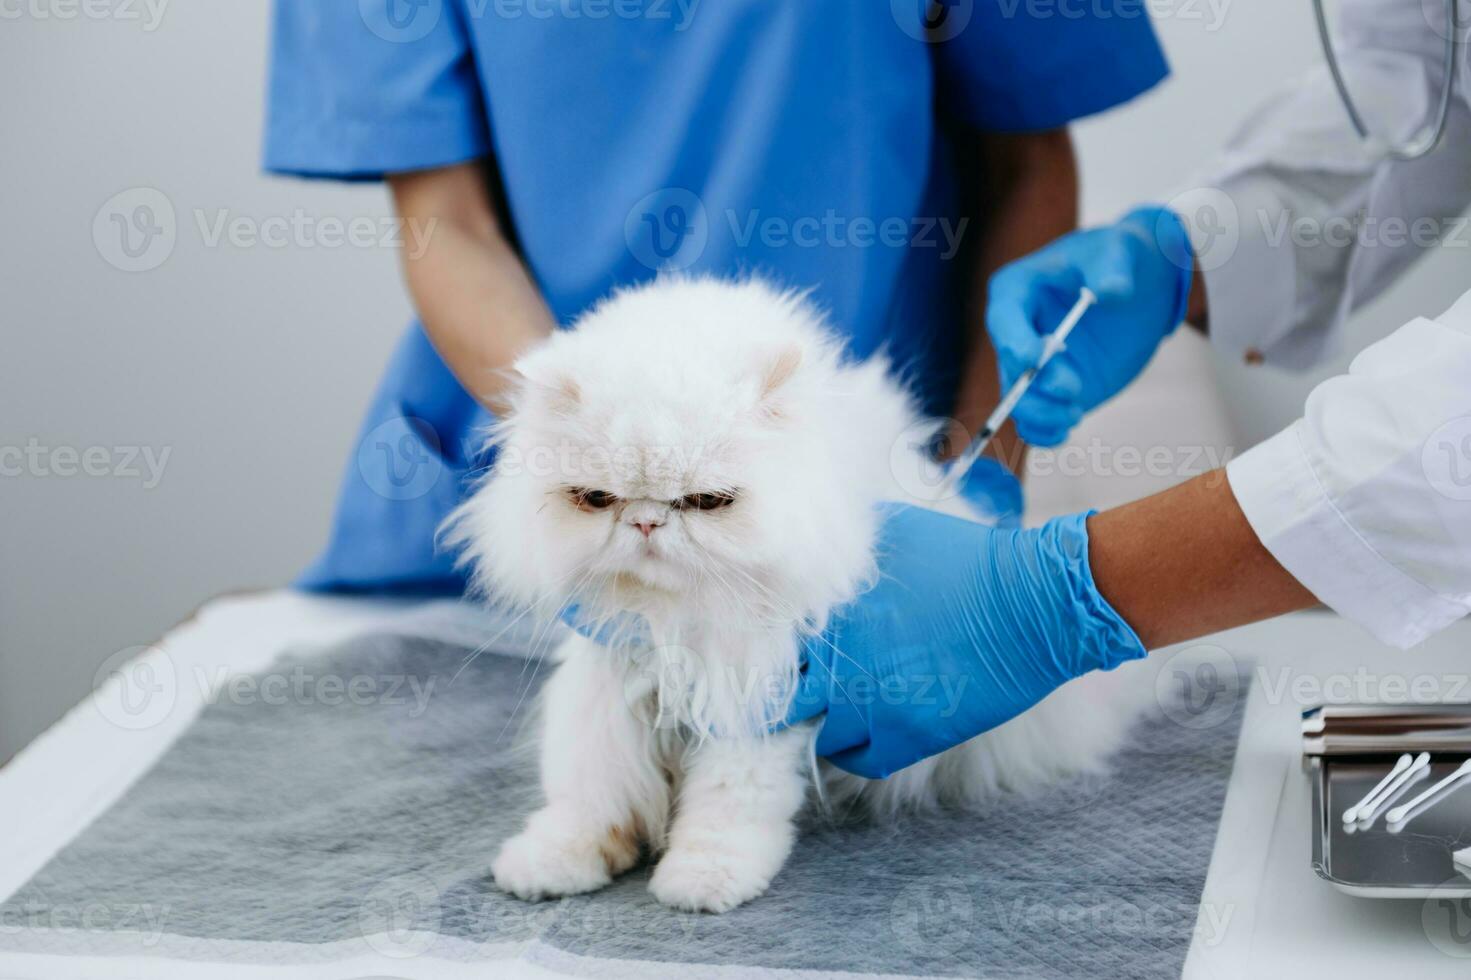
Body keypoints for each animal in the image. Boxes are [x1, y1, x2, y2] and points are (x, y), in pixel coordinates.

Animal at [444, 272, 1135, 906]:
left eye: (706, 502)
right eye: (596, 500)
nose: (645, 522)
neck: (676, 619)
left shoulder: (758, 691)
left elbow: (726, 807)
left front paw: (703, 882)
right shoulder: (607, 679)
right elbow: (592, 788)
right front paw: (555, 862)